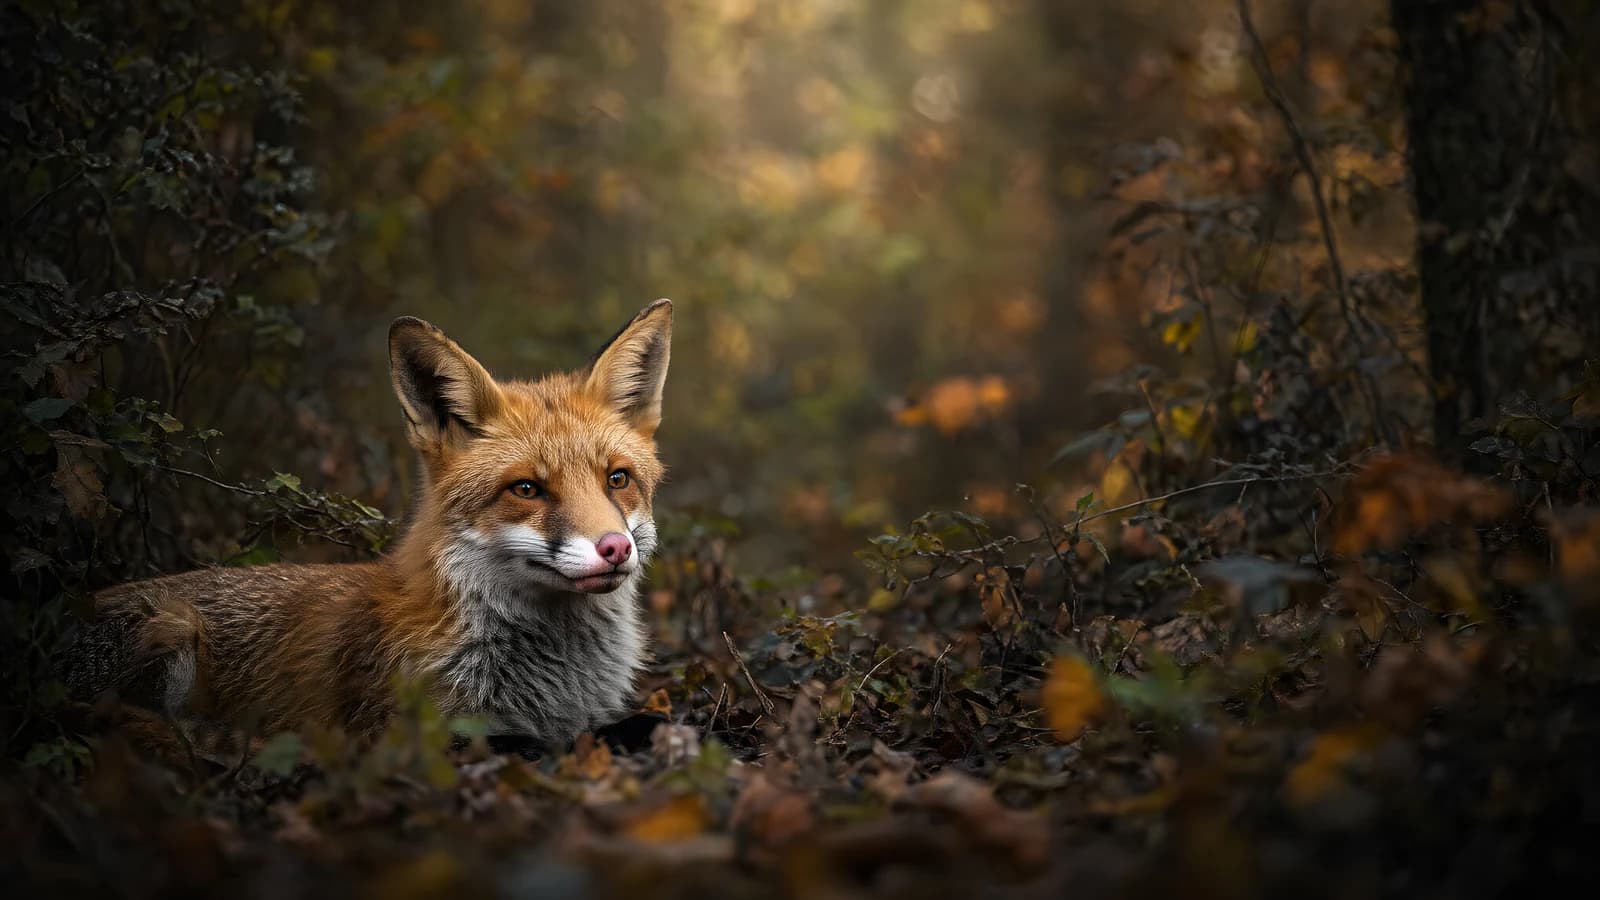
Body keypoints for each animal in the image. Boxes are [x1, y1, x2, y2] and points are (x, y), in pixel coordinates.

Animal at [72, 299, 674, 754]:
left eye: (617, 479)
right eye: (526, 489)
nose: (615, 548)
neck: (552, 682)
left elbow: (646, 722)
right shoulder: (412, 732)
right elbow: (533, 743)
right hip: (172, 624)